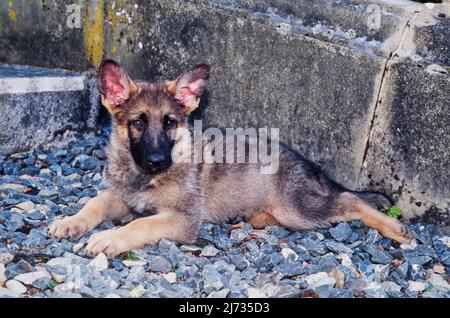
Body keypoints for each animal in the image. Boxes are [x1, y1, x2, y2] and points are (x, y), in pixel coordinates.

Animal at [48, 60, 412, 258]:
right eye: (138, 123)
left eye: (170, 123)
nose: (156, 160)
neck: (144, 177)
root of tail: (311, 168)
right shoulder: (121, 197)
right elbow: (95, 202)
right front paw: (71, 222)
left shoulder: (182, 218)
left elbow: (141, 224)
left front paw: (109, 239)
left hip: (298, 209)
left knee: (350, 200)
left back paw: (395, 227)